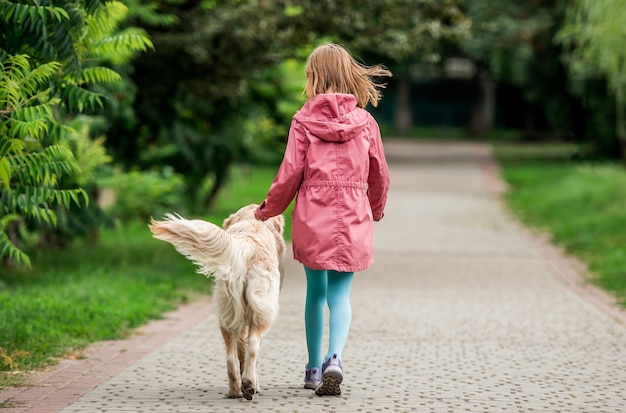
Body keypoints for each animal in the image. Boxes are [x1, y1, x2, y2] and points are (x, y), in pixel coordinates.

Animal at [147, 204, 284, 400]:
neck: (252, 221)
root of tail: (246, 245)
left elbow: (239, 352)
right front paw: (255, 385)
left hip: (227, 313)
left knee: (231, 359)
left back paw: (235, 391)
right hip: (264, 314)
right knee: (253, 346)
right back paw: (248, 384)